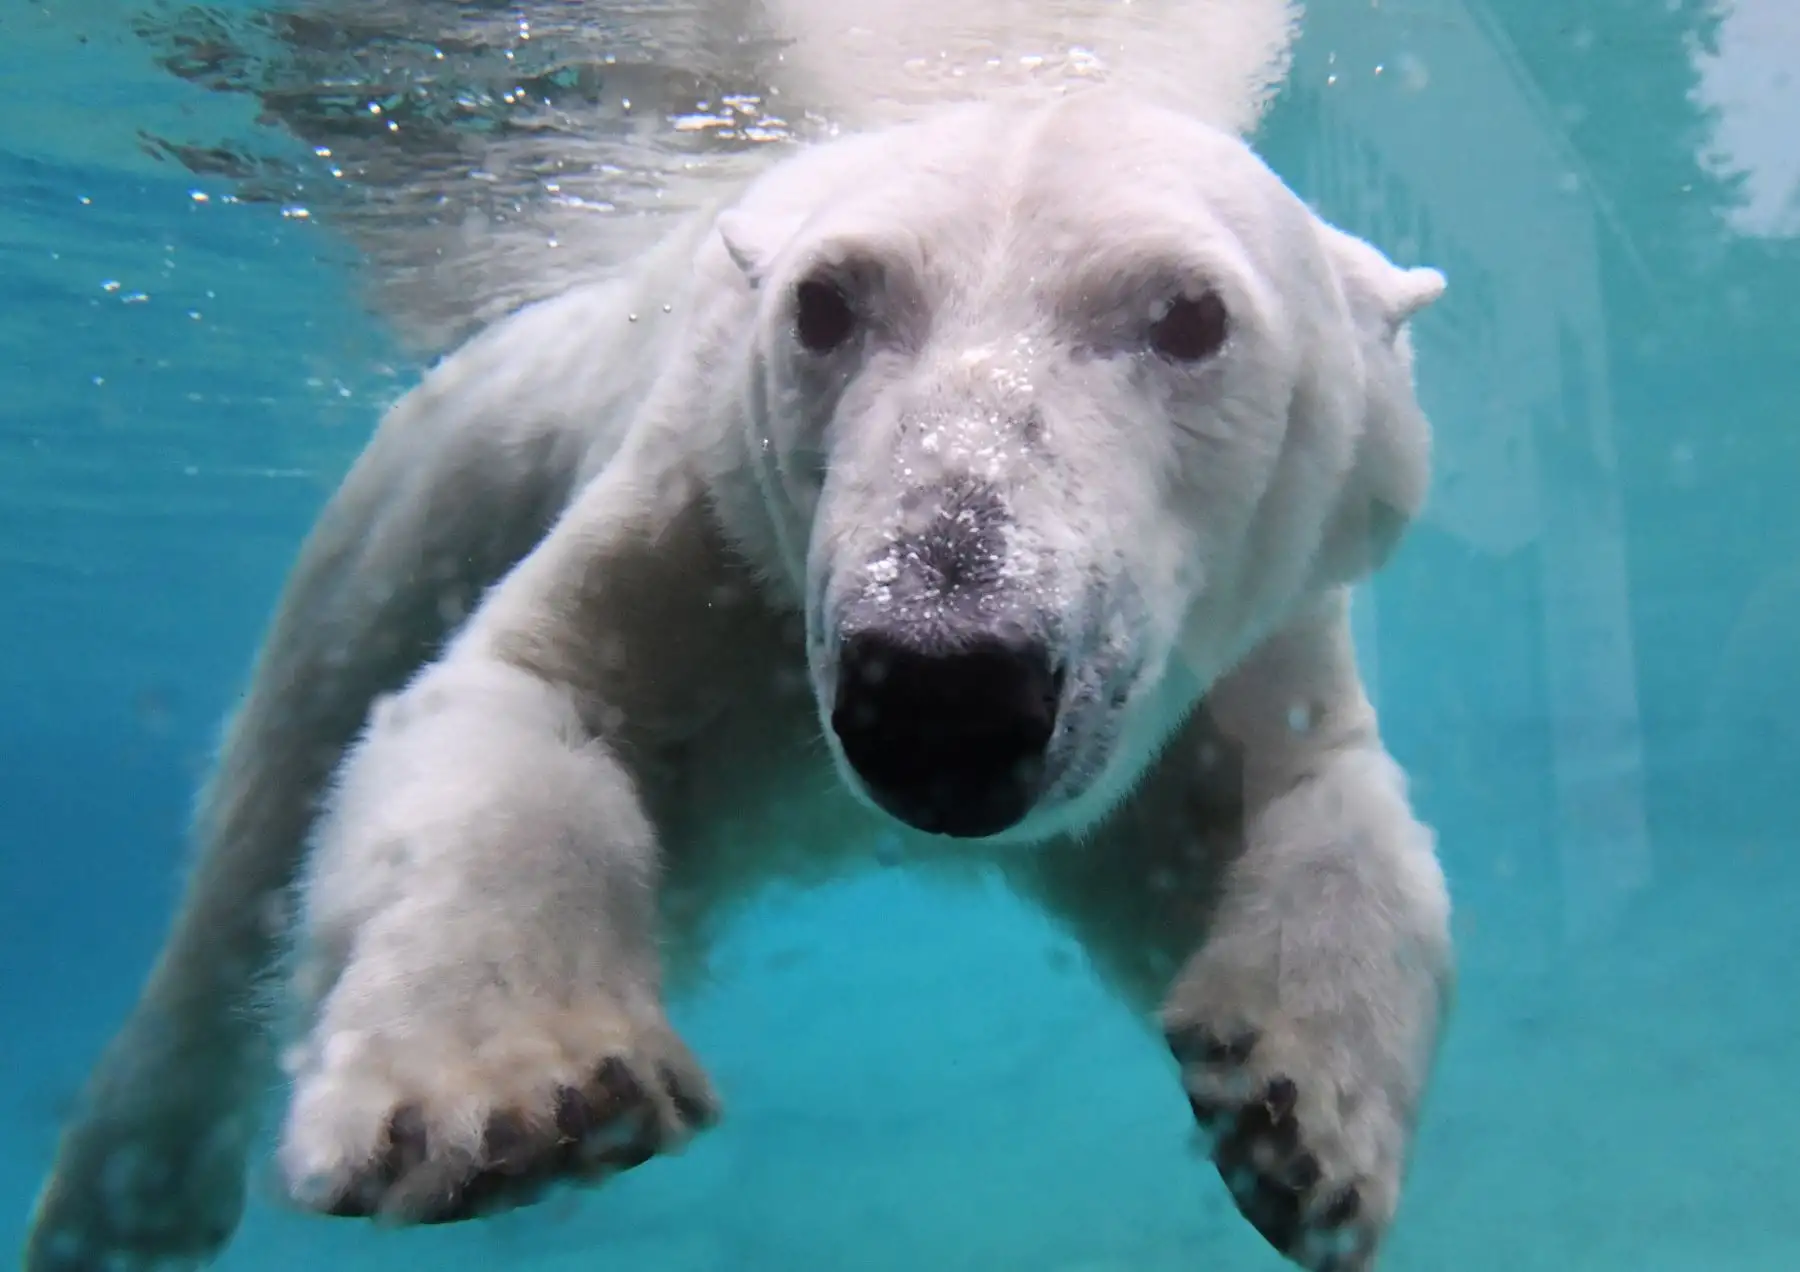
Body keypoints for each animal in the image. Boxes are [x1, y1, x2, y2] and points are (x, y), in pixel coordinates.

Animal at [23, 86, 1452, 1272]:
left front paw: (1303, 1128)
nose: (938, 686)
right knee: (270, 807)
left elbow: (1299, 808)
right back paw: (127, 1200)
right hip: (435, 487)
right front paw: (515, 1099)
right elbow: (531, 698)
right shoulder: (704, 524)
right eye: (825, 301)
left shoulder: (1247, 641)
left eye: (1192, 314)